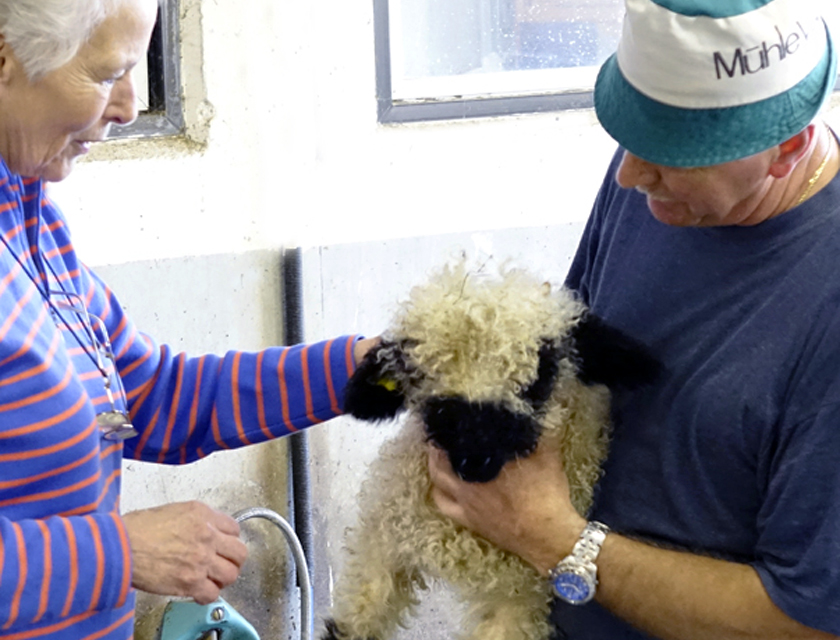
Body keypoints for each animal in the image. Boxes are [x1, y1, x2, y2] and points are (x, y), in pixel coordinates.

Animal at [324, 262, 660, 640]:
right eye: (420, 376)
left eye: (542, 376)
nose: (474, 458)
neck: (463, 542)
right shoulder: (383, 543)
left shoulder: (518, 599)